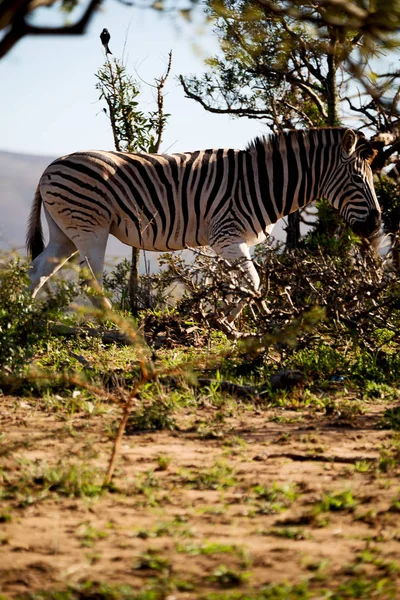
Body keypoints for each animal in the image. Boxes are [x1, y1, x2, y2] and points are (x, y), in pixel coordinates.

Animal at [27, 128, 382, 322]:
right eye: (357, 179)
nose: (376, 223)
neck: (261, 183)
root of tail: (50, 167)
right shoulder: (227, 236)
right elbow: (253, 282)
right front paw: (225, 320)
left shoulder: (234, 241)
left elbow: (239, 284)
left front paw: (228, 318)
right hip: (91, 228)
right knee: (91, 280)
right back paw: (114, 322)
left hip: (64, 232)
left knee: (38, 270)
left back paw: (23, 318)